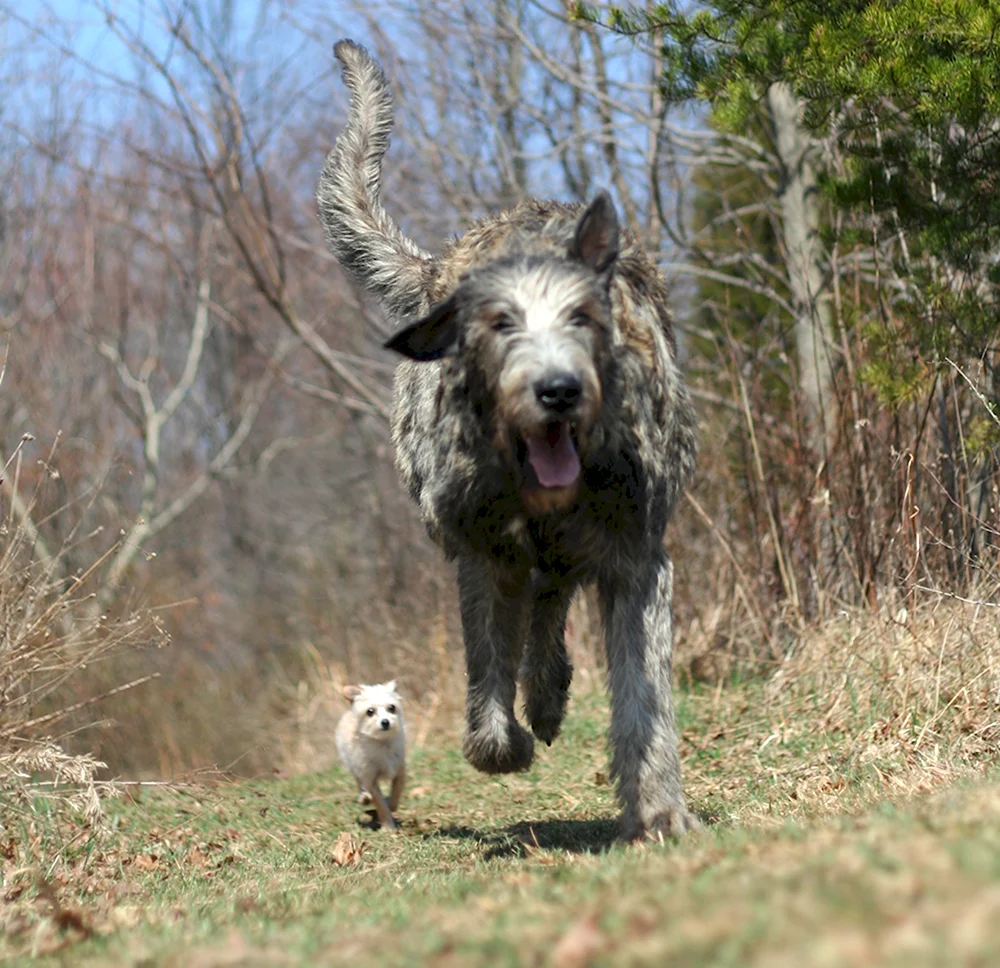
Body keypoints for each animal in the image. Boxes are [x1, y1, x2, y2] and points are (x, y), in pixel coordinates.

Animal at [336, 680, 406, 832]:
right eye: (370, 712)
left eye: (392, 708)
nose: (385, 722)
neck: (381, 742)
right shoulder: (370, 778)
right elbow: (380, 804)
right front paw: (387, 826)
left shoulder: (399, 772)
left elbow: (396, 794)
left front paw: (390, 803)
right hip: (354, 766)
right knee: (359, 782)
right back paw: (364, 797)